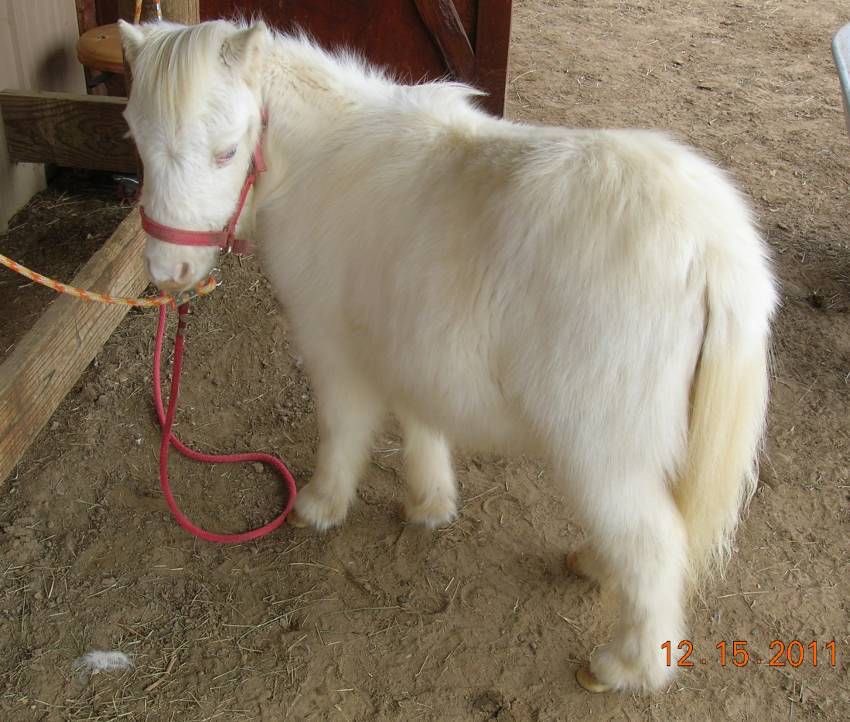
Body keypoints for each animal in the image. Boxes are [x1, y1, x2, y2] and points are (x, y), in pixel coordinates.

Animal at [118, 18, 777, 693]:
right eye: (136, 141)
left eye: (227, 151)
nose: (170, 273)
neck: (318, 163)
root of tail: (713, 252)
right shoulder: (412, 344)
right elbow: (420, 422)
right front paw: (429, 504)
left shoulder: (332, 345)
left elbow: (342, 430)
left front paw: (319, 506)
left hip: (602, 447)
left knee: (654, 544)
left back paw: (622, 666)